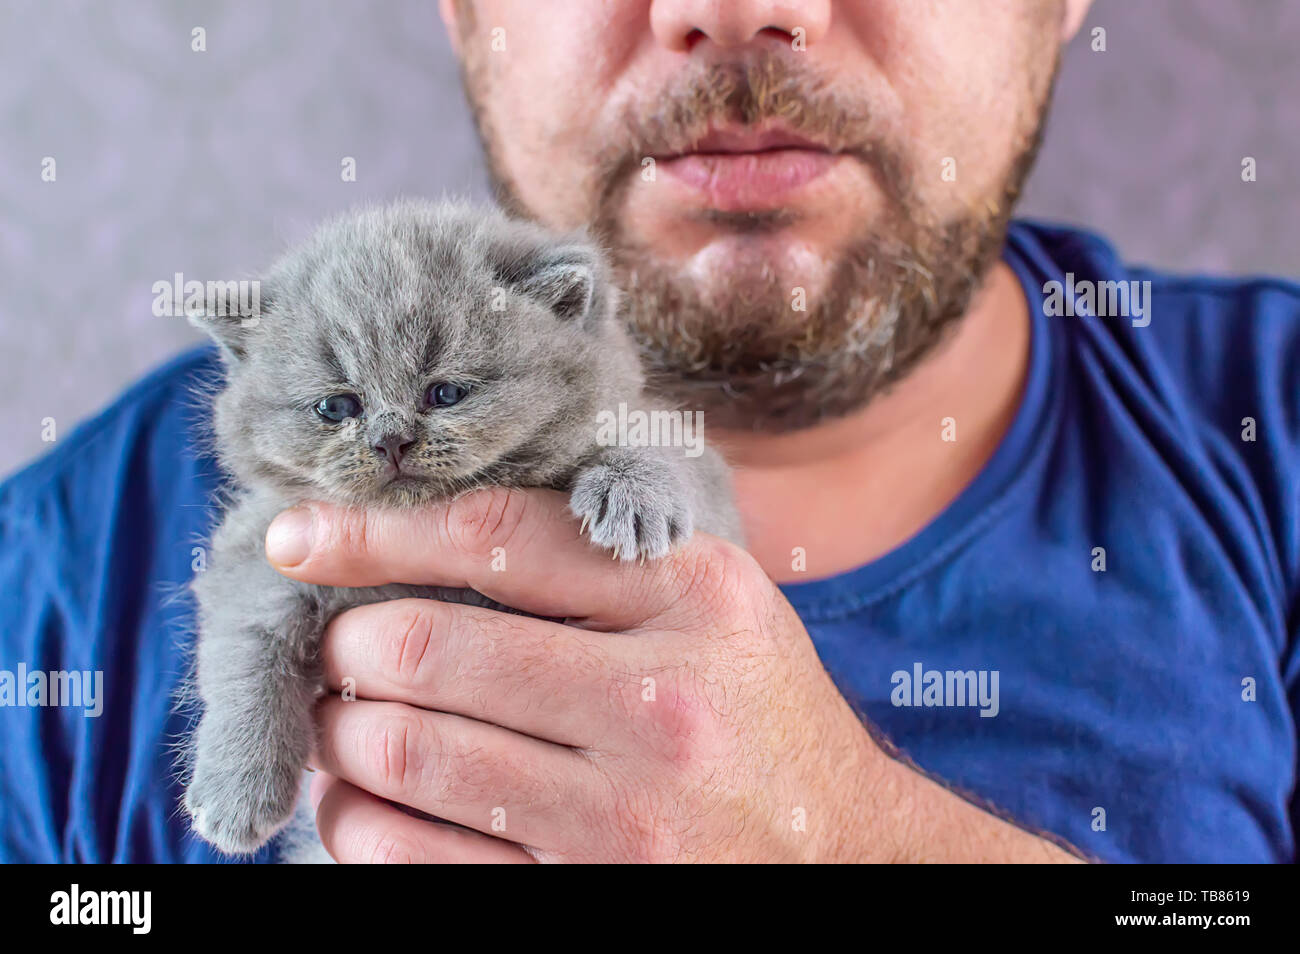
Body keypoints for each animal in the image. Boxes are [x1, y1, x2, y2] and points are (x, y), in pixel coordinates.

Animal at [188, 201, 748, 857]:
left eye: (447, 392)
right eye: (337, 407)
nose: (390, 439)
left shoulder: (705, 481)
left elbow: (667, 445)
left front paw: (633, 489)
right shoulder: (261, 548)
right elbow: (245, 650)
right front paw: (235, 790)